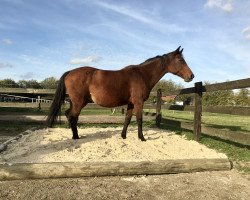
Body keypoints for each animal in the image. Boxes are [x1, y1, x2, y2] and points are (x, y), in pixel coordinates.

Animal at [47, 46, 195, 141]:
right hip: (79, 102)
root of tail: (70, 72)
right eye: (180, 60)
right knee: (73, 116)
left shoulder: (131, 103)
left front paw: (123, 136)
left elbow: (127, 119)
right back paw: (76, 137)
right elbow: (139, 119)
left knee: (68, 114)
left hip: (74, 102)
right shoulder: (138, 102)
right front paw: (142, 138)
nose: (191, 76)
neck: (142, 75)